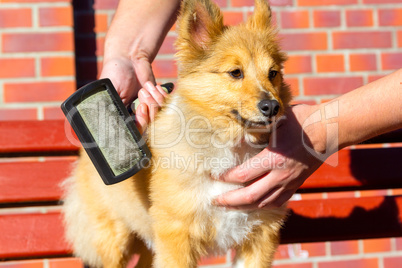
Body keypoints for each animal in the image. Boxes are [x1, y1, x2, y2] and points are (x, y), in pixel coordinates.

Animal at [61, 0, 290, 266]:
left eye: (273, 73)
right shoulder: (177, 236)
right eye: (235, 73)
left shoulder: (259, 235)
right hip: (113, 240)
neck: (230, 143)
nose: (272, 107)